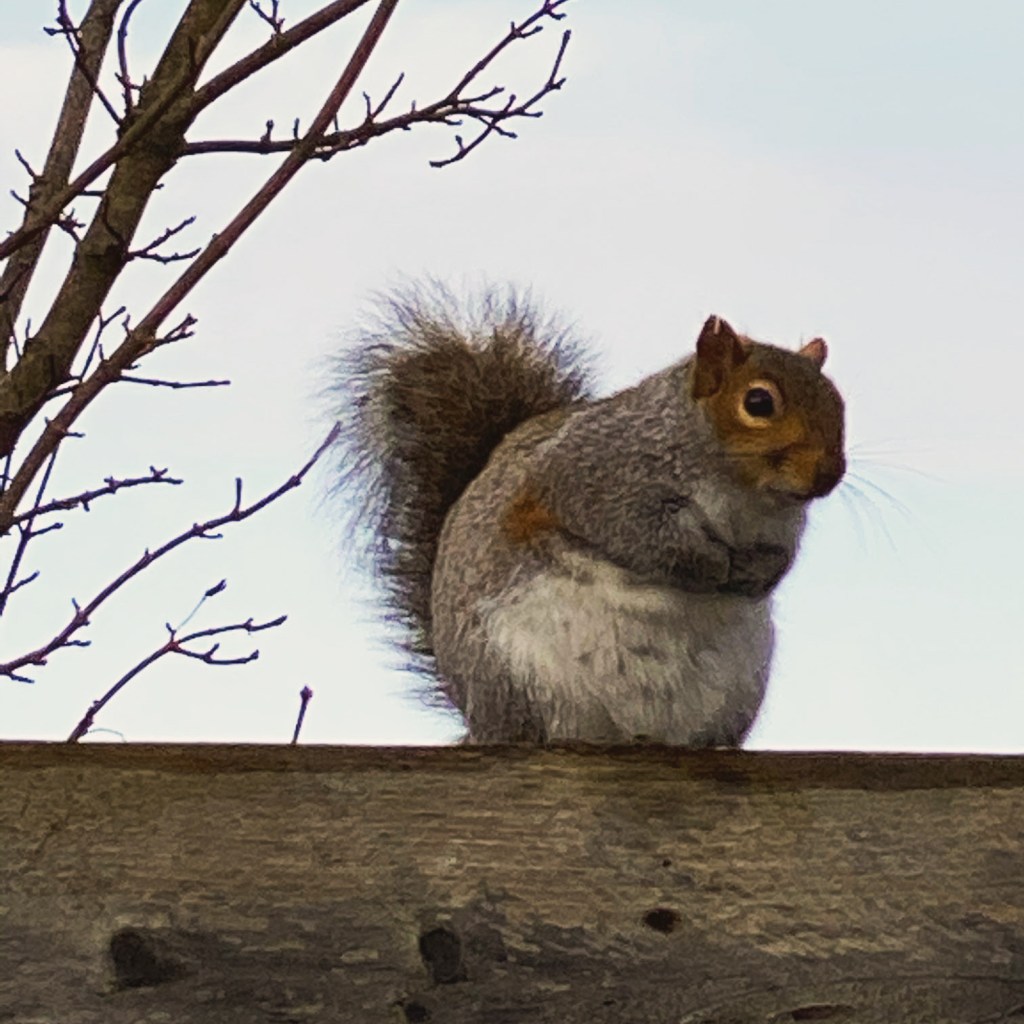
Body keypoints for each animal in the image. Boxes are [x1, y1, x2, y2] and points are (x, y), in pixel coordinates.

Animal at [335, 285, 845, 746]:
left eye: (839, 402)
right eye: (758, 402)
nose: (830, 474)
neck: (745, 494)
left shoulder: (781, 530)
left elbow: (780, 560)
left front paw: (755, 574)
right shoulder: (596, 475)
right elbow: (635, 532)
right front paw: (708, 562)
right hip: (515, 675)